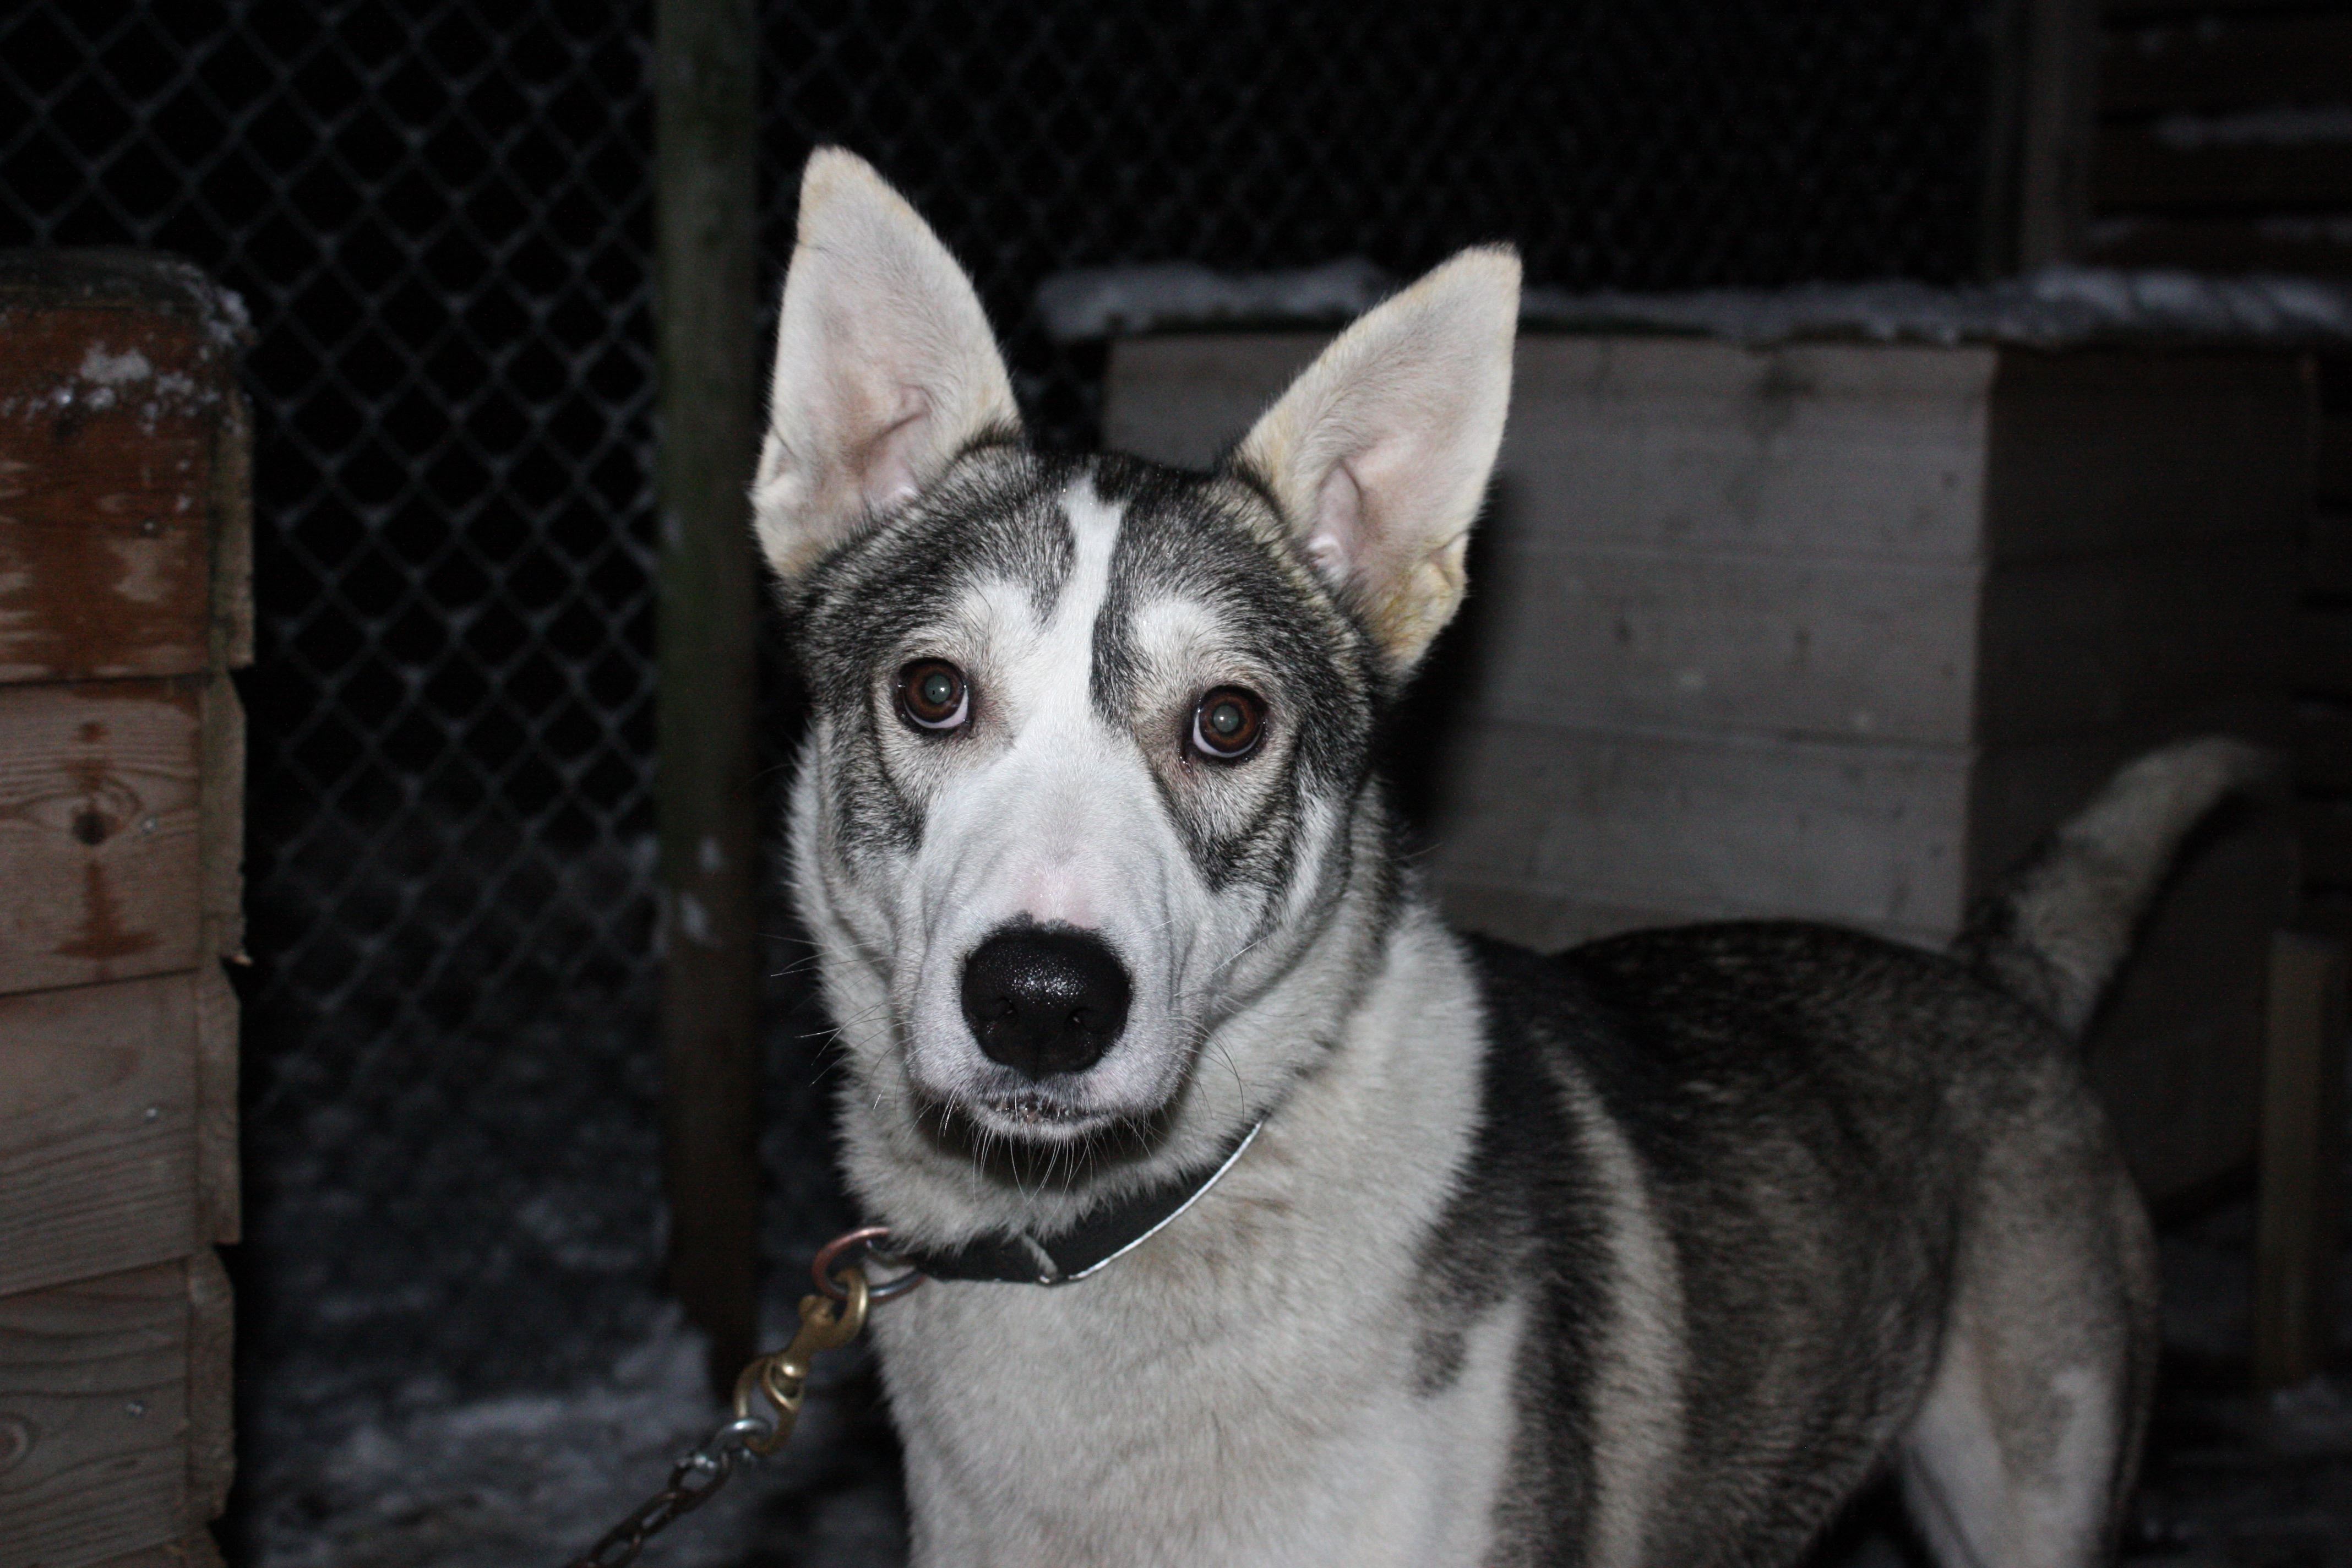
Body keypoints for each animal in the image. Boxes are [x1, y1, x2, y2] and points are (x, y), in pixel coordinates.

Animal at [762, 150, 2248, 1568]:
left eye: (1227, 719)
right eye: (935, 692)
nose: (1041, 999)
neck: (1111, 1234)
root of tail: (1991, 972)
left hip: (2035, 1492)